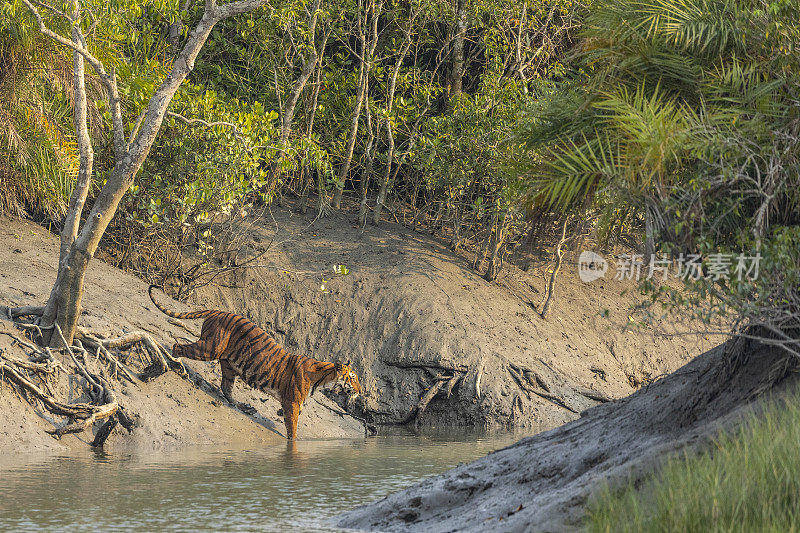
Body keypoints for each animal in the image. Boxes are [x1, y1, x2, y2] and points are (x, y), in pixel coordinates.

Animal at [148, 284, 360, 438]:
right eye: (353, 378)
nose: (360, 391)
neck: (323, 379)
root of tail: (217, 311)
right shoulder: (292, 402)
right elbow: (292, 428)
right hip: (210, 348)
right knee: (178, 346)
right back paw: (176, 363)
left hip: (229, 365)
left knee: (226, 387)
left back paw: (241, 405)